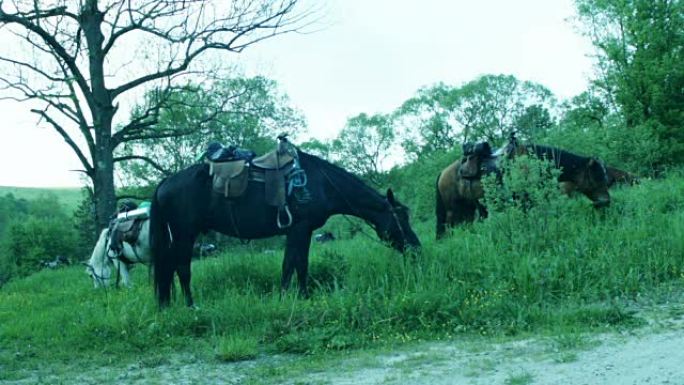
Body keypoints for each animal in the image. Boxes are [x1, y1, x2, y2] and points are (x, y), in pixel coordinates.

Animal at [150, 149, 420, 306]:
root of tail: (165, 182)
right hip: (185, 233)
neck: (321, 183)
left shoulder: (300, 232)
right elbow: (295, 264)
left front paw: (294, 296)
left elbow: (294, 264)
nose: (416, 247)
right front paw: (296, 296)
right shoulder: (300, 229)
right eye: (401, 217)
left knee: (170, 267)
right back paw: (190, 304)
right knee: (181, 267)